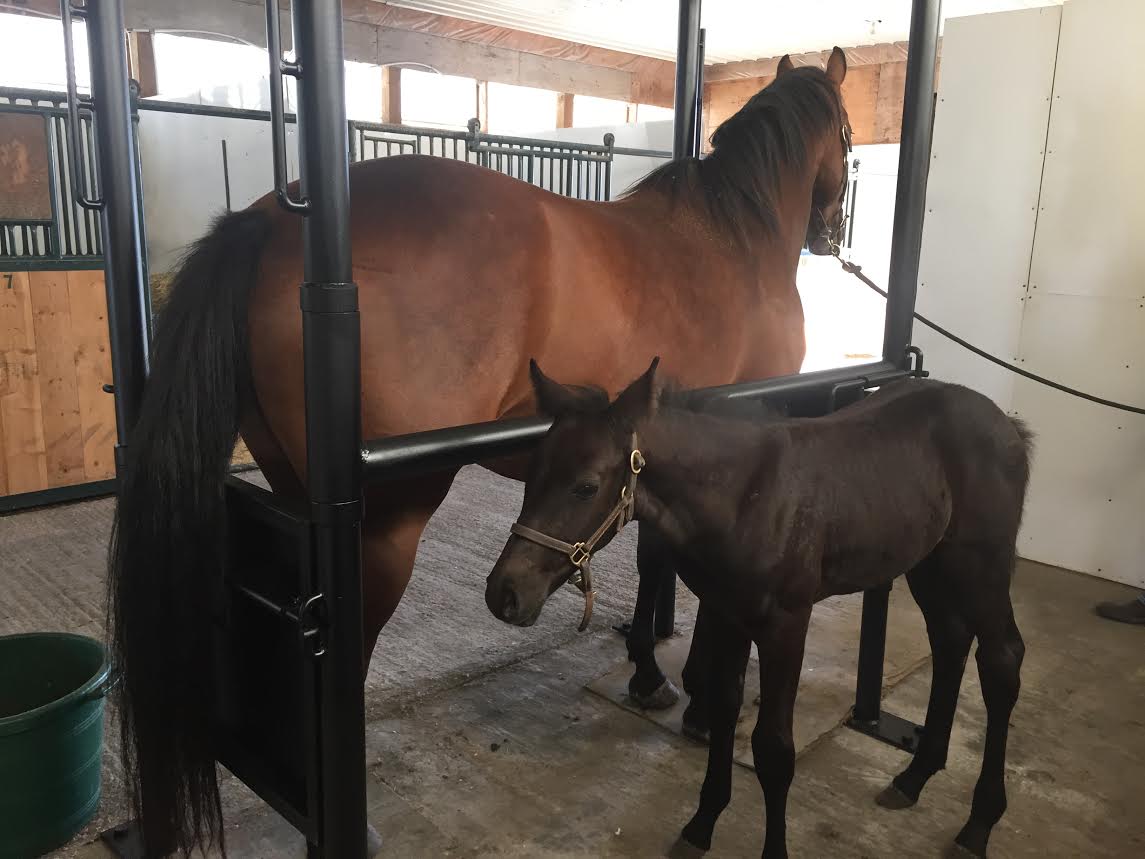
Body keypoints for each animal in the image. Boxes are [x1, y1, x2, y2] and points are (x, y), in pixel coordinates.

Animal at [107, 48, 853, 853]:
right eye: (849, 134)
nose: (831, 231)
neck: (732, 241)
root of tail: (272, 219)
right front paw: (692, 696)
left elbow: (656, 554)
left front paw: (650, 676)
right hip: (386, 527)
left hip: (290, 491)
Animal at [485, 360, 1033, 859]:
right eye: (529, 474)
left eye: (585, 486)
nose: (503, 593)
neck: (744, 496)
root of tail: (1008, 426)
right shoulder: (728, 612)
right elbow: (724, 709)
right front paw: (701, 824)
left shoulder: (786, 624)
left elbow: (773, 748)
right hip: (929, 564)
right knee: (951, 641)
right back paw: (915, 775)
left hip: (981, 566)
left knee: (1001, 658)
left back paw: (978, 824)